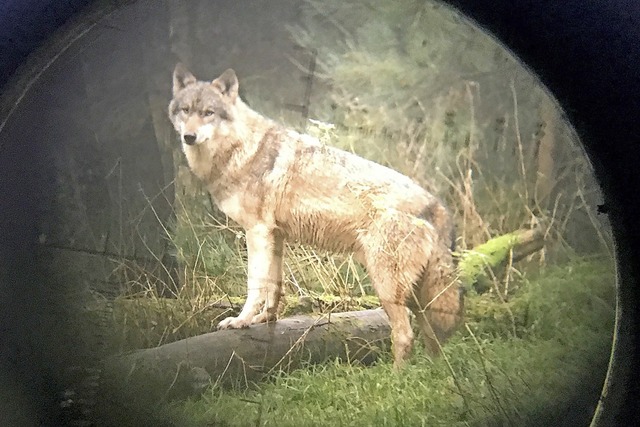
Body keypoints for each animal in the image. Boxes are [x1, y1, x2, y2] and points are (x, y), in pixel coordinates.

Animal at [168, 64, 462, 368]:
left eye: (208, 113)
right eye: (186, 110)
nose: (188, 137)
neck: (241, 148)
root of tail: (437, 205)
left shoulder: (257, 232)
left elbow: (255, 285)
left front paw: (241, 321)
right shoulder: (275, 236)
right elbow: (275, 286)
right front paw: (265, 319)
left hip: (387, 287)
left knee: (405, 336)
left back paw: (396, 377)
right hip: (416, 297)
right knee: (433, 339)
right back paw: (433, 373)